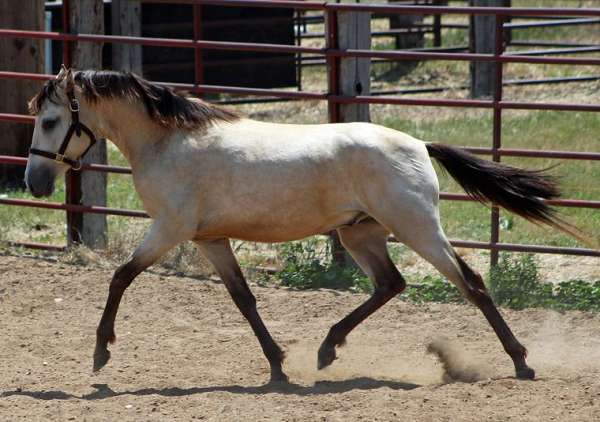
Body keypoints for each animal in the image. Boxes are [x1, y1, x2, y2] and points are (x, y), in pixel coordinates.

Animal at [25, 67, 584, 384]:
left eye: (50, 121)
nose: (34, 182)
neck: (169, 142)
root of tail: (418, 144)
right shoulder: (210, 239)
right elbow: (244, 299)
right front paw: (277, 366)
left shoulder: (170, 229)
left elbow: (120, 276)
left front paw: (101, 353)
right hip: (361, 232)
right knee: (390, 284)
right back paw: (326, 350)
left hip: (417, 227)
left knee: (471, 282)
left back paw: (522, 362)